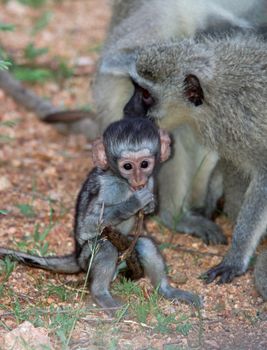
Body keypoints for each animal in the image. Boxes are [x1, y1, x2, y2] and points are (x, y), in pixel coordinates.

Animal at [0, 119, 201, 314]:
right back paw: (101, 294)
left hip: (127, 249)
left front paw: (150, 206)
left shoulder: (150, 181)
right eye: (128, 166)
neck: (123, 182)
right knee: (105, 246)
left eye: (144, 164)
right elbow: (88, 225)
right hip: (87, 257)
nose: (138, 180)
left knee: (145, 244)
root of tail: (76, 255)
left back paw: (167, 290)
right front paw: (134, 203)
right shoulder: (108, 187)